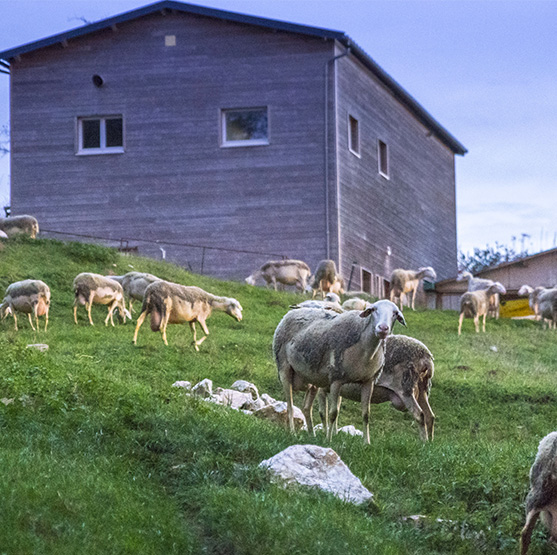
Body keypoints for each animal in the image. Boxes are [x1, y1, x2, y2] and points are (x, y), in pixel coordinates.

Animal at [272, 300, 406, 444]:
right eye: (373, 309)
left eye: (395, 313)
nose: (383, 328)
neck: (366, 352)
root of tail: (293, 311)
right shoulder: (336, 379)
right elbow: (332, 413)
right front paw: (328, 440)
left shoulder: (368, 381)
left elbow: (366, 415)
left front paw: (367, 443)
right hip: (284, 368)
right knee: (290, 405)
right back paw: (292, 432)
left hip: (312, 379)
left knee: (306, 407)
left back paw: (312, 434)